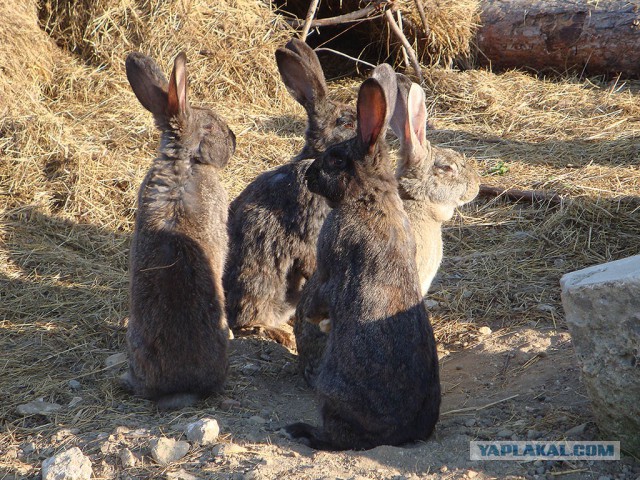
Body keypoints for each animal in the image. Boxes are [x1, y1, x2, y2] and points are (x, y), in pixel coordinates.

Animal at [284, 69, 440, 452]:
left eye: (336, 159)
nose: (309, 175)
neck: (369, 195)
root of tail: (397, 435)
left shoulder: (329, 258)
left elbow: (318, 295)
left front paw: (313, 318)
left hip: (331, 393)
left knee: (337, 437)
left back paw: (301, 430)